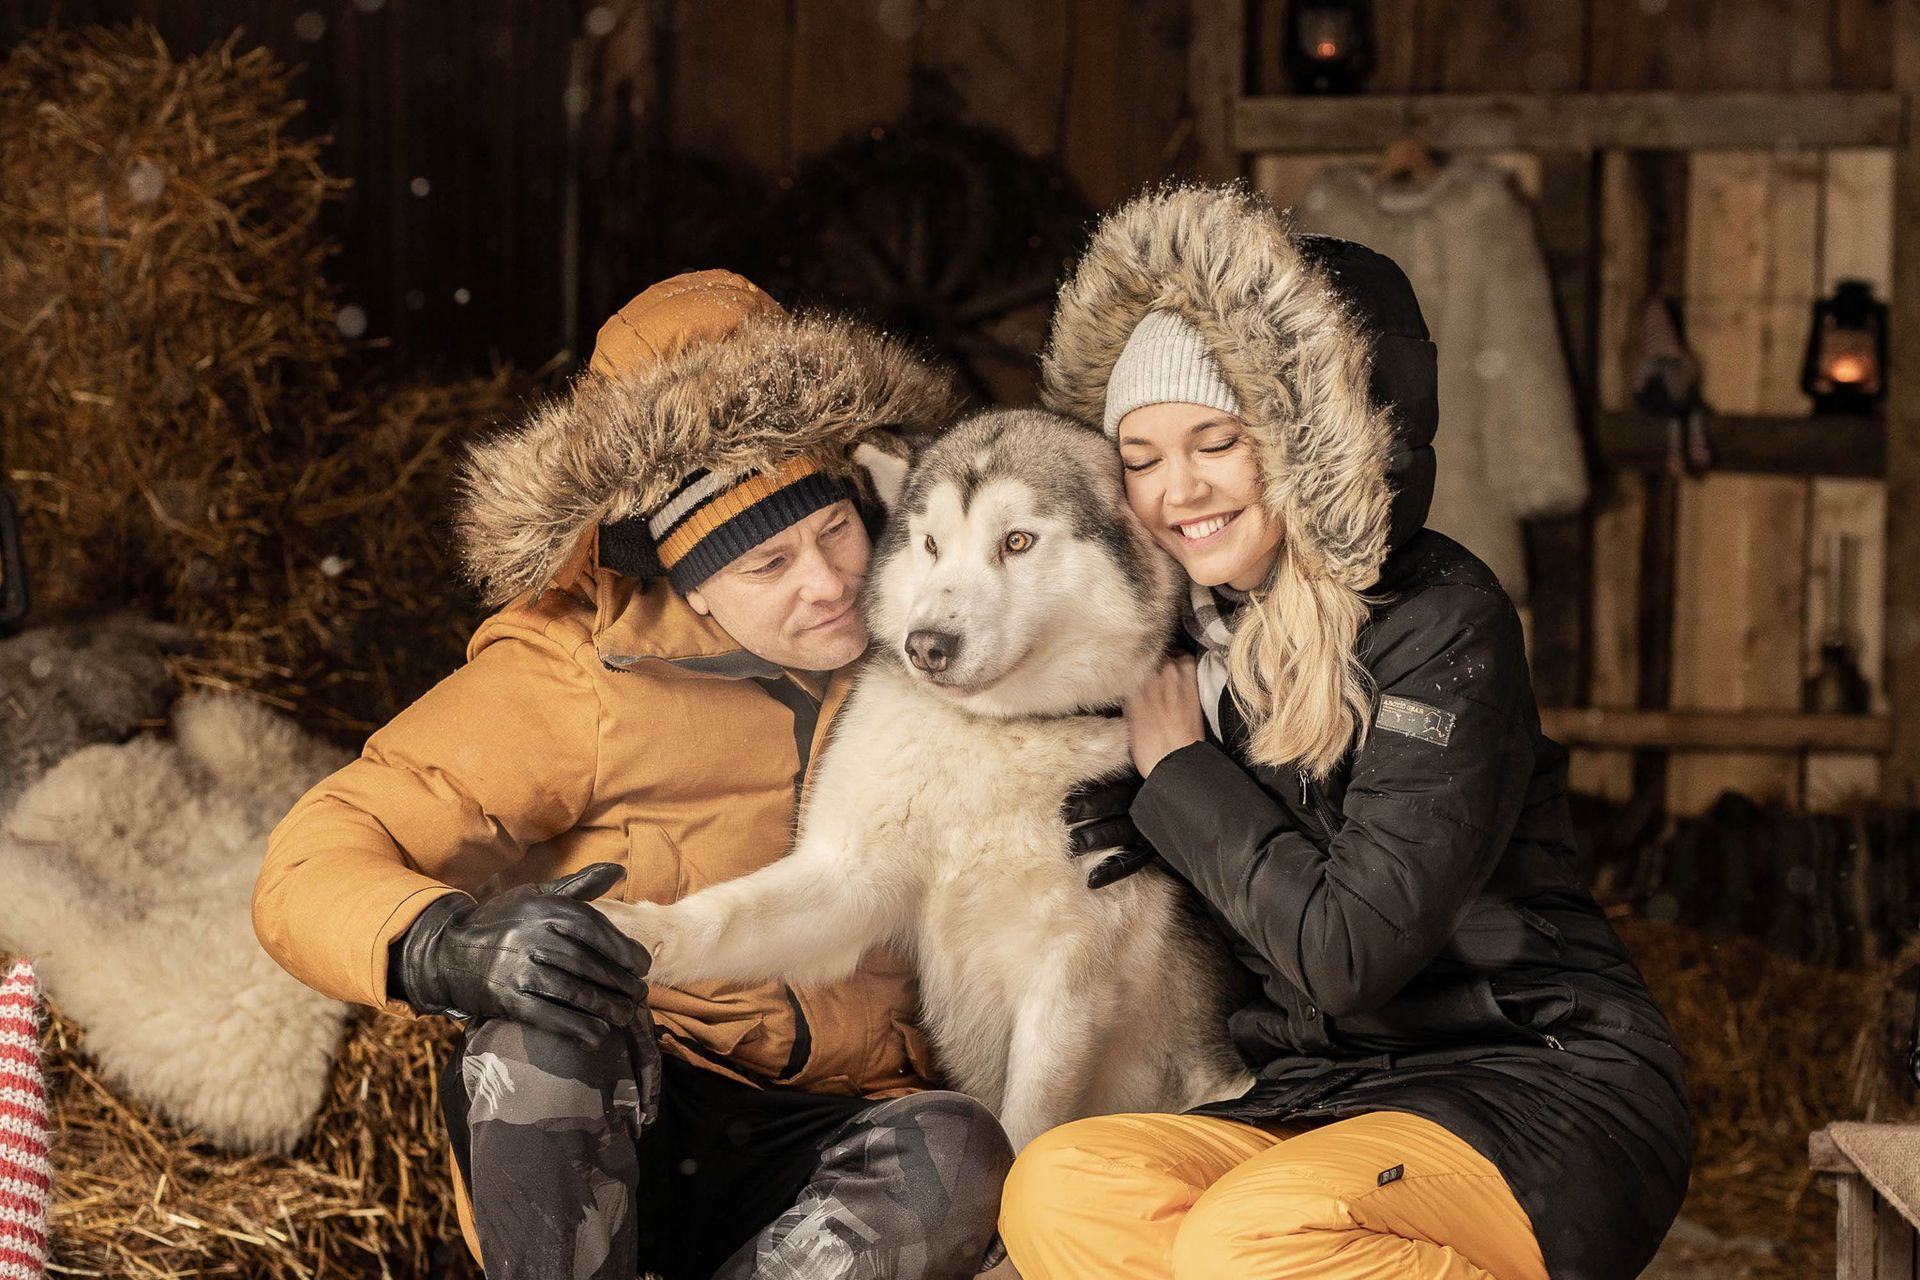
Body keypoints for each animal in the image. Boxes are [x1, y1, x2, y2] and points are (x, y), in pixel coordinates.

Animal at [602, 410, 1259, 1151]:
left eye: (1017, 541)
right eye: (932, 545)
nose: (926, 646)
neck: (994, 735)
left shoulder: (1069, 978)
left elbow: (1026, 1125)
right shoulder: (849, 880)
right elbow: (724, 916)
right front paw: (623, 932)